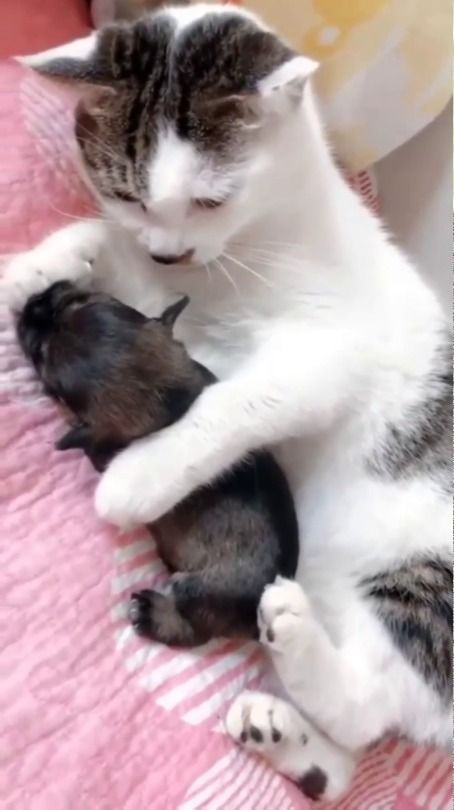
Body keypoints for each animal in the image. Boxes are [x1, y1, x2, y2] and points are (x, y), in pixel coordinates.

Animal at [5, 3, 452, 800]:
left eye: (211, 200)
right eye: (126, 192)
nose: (169, 249)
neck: (238, 255)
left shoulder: (326, 353)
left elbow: (234, 402)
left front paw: (138, 475)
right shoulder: (158, 297)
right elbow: (107, 253)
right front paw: (33, 267)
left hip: (429, 587)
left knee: (370, 702)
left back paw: (291, 626)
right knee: (352, 752)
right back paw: (284, 732)